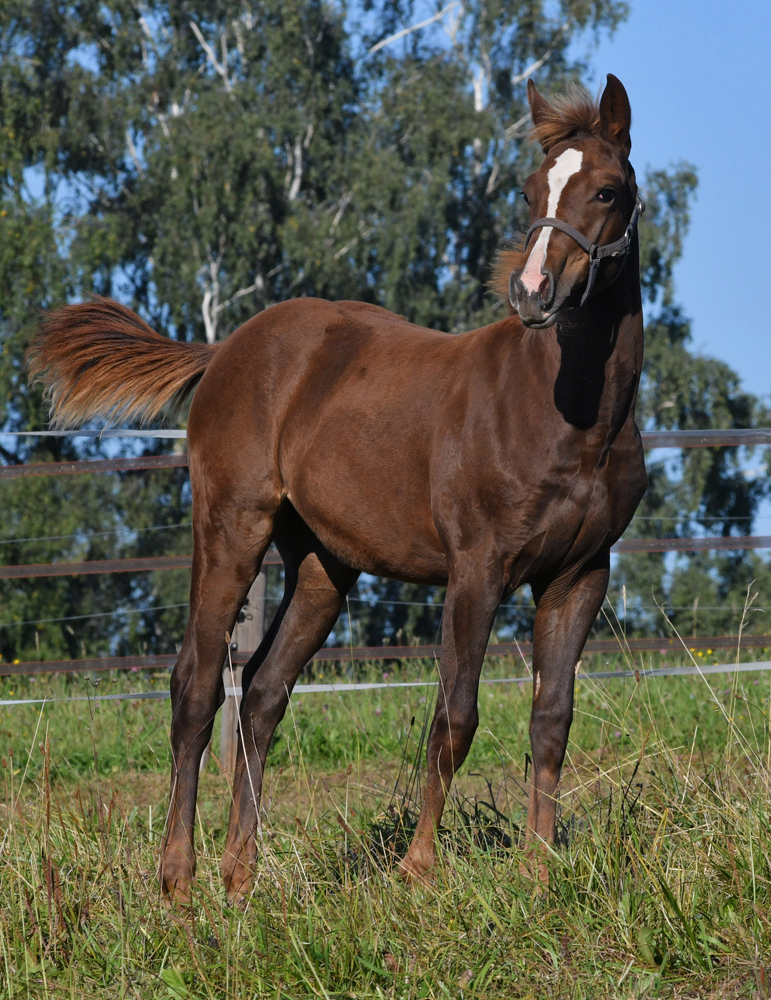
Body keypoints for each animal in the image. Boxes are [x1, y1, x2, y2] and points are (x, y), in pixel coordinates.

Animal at [28, 74, 644, 904]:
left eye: (606, 190)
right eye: (528, 190)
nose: (531, 292)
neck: (567, 415)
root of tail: (227, 348)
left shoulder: (579, 574)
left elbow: (551, 718)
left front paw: (538, 873)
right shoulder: (476, 570)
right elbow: (454, 717)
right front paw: (417, 871)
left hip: (323, 563)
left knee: (262, 693)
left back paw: (240, 875)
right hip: (231, 526)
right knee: (195, 687)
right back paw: (178, 880)